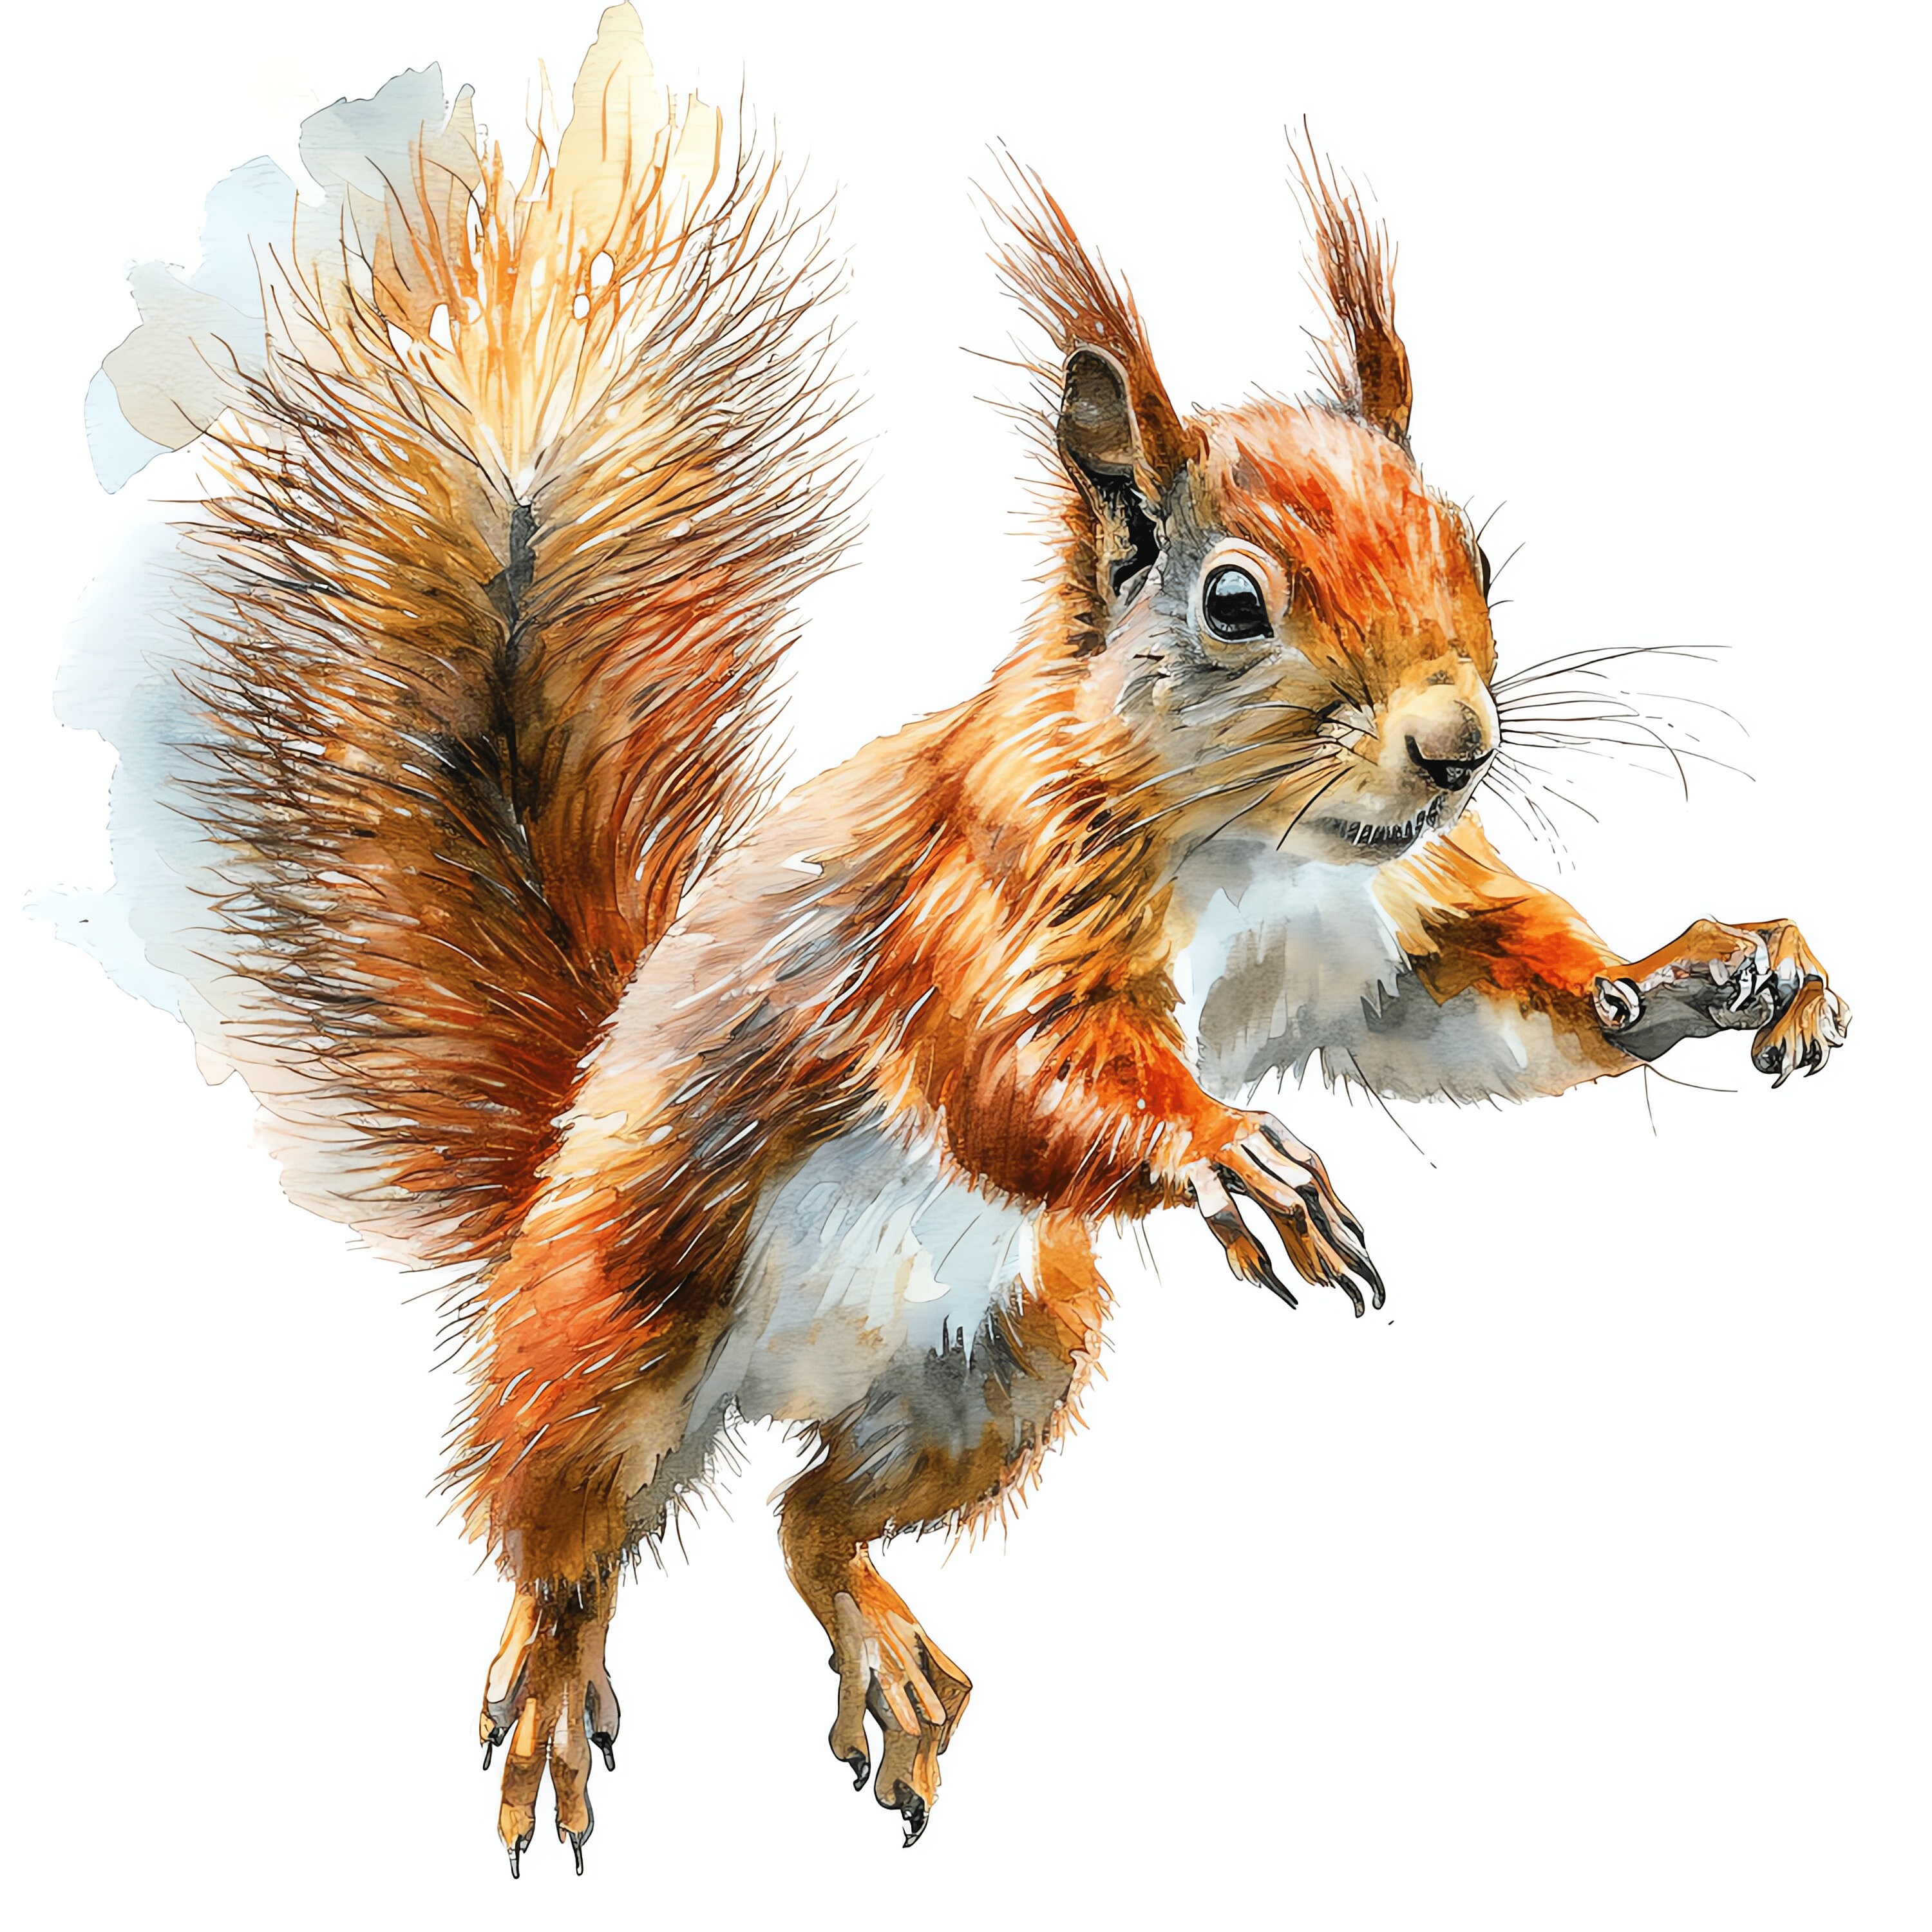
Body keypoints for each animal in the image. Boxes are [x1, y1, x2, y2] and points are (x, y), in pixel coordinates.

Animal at [125, 4, 1849, 1874]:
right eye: (1233, 601)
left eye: (1469, 546)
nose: (1457, 746)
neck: (1256, 850)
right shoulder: (992, 896)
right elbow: (1012, 1073)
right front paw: (1231, 1152)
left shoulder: (1383, 935)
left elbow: (1484, 1013)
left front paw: (1702, 972)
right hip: (615, 1318)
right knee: (556, 1520)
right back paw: (556, 1677)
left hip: (1004, 1359)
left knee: (809, 1511)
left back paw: (876, 1641)